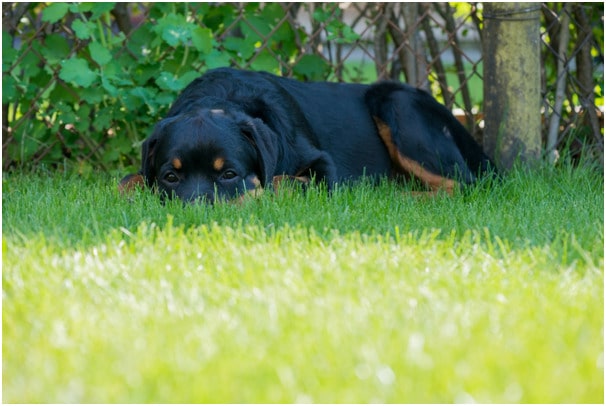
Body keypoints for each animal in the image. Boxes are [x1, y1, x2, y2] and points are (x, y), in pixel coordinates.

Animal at [121, 68, 496, 203]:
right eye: (170, 177)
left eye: (228, 174)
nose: (195, 211)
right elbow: (125, 181)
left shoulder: (323, 167)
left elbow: (280, 181)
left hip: (396, 104)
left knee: (462, 185)